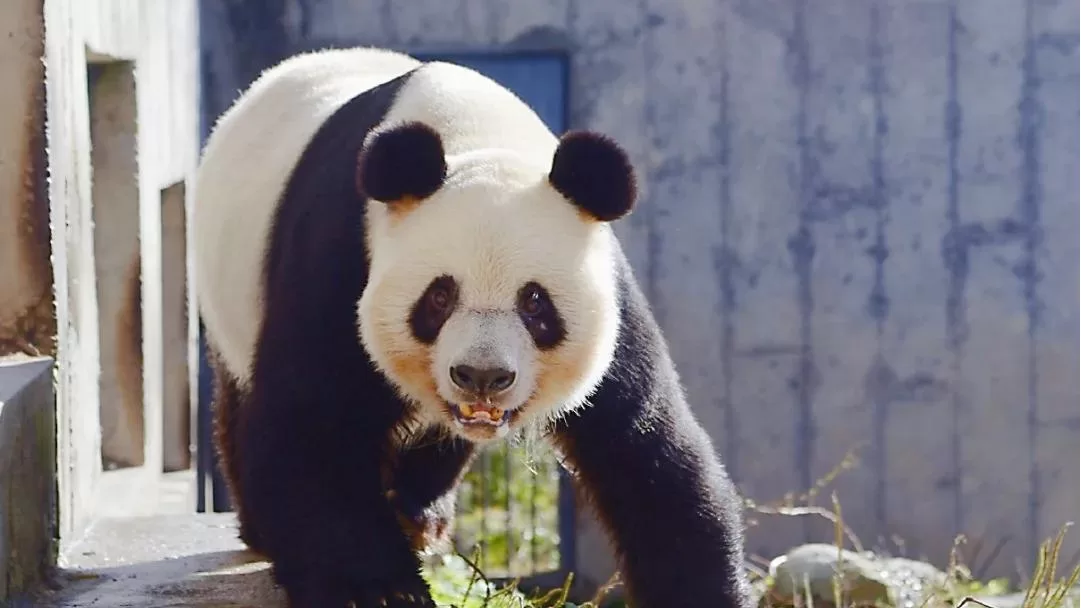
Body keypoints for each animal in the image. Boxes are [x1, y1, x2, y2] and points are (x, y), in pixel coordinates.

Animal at [193, 46, 752, 608]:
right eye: (439, 297)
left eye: (534, 302)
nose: (482, 376)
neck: (478, 138)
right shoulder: (340, 259)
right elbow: (312, 430)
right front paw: (380, 590)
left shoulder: (611, 302)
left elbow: (647, 453)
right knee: (242, 399)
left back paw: (417, 511)